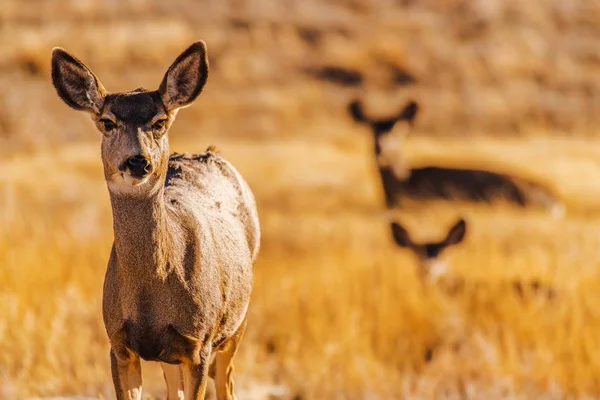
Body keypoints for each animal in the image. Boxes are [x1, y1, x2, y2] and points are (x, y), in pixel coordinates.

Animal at [50, 40, 258, 400]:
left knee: (227, 383)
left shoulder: (197, 343)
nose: (138, 161)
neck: (151, 292)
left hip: (235, 322)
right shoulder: (119, 343)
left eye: (159, 122)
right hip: (171, 355)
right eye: (107, 122)